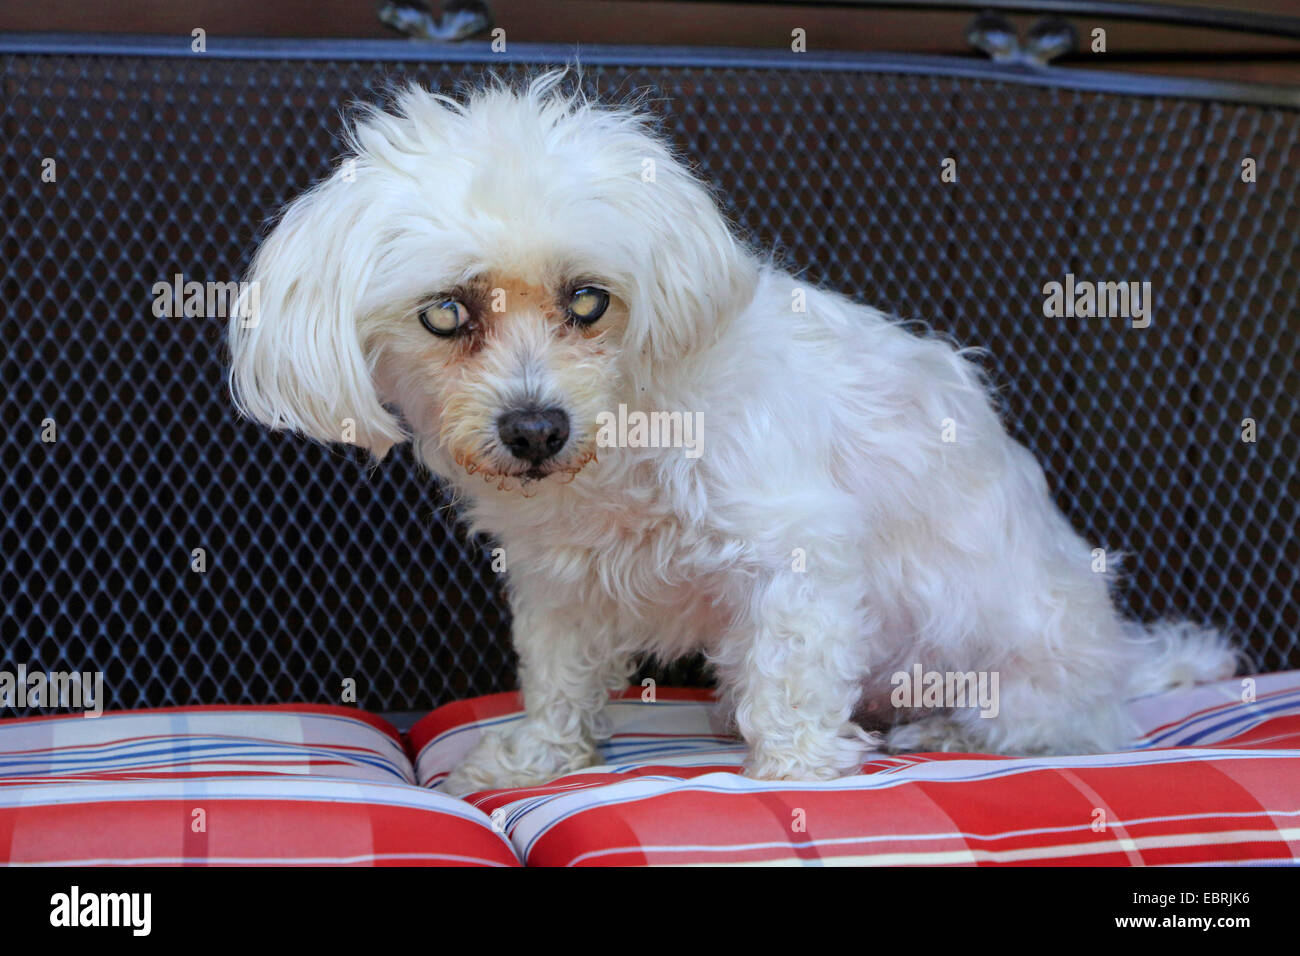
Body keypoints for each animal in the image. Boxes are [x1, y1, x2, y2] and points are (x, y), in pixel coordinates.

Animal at [226, 70, 1237, 796]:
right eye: (444, 313)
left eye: (588, 300)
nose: (536, 428)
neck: (624, 437)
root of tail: (1122, 660)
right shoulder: (558, 581)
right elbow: (556, 677)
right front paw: (539, 758)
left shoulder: (797, 544)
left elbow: (794, 666)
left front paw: (794, 771)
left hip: (1016, 658)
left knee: (1054, 723)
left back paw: (944, 729)